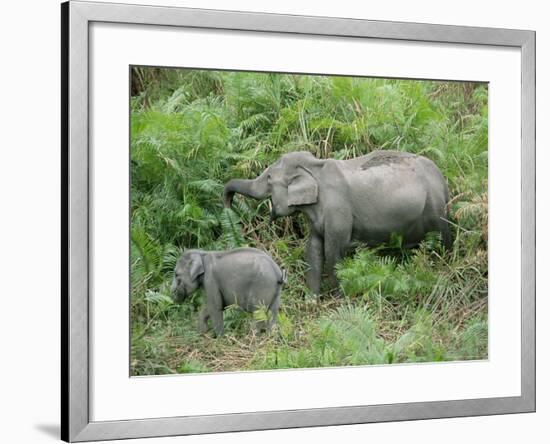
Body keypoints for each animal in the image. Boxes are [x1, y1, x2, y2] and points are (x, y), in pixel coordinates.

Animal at [224, 150, 452, 294]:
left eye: (269, 178)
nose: (227, 204)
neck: (315, 166)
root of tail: (442, 178)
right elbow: (313, 249)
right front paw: (312, 299)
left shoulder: (337, 210)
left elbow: (334, 251)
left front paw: (336, 299)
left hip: (436, 210)